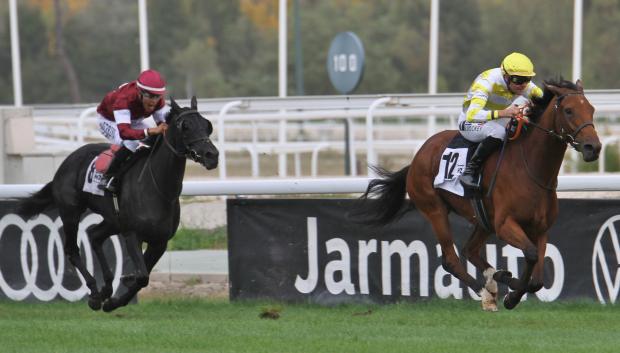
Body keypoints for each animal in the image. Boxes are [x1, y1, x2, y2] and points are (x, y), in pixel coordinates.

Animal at [15, 96, 218, 310]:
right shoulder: (132, 234)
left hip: (113, 220)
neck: (158, 189)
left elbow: (142, 277)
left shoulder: (159, 241)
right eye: (185, 126)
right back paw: (95, 294)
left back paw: (106, 288)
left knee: (95, 236)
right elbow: (142, 276)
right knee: (72, 249)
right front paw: (116, 294)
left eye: (207, 125)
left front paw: (116, 296)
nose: (212, 155)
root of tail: (66, 162)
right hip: (70, 212)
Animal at [358, 79, 600, 308]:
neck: (532, 170)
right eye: (568, 110)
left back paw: (498, 277)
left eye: (592, 109)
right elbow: (530, 255)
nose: (593, 148)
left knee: (470, 250)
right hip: (435, 210)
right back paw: (485, 293)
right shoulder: (505, 225)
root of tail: (416, 158)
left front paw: (512, 286)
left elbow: (538, 279)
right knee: (451, 259)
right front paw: (512, 297)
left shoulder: (540, 229)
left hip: (483, 220)